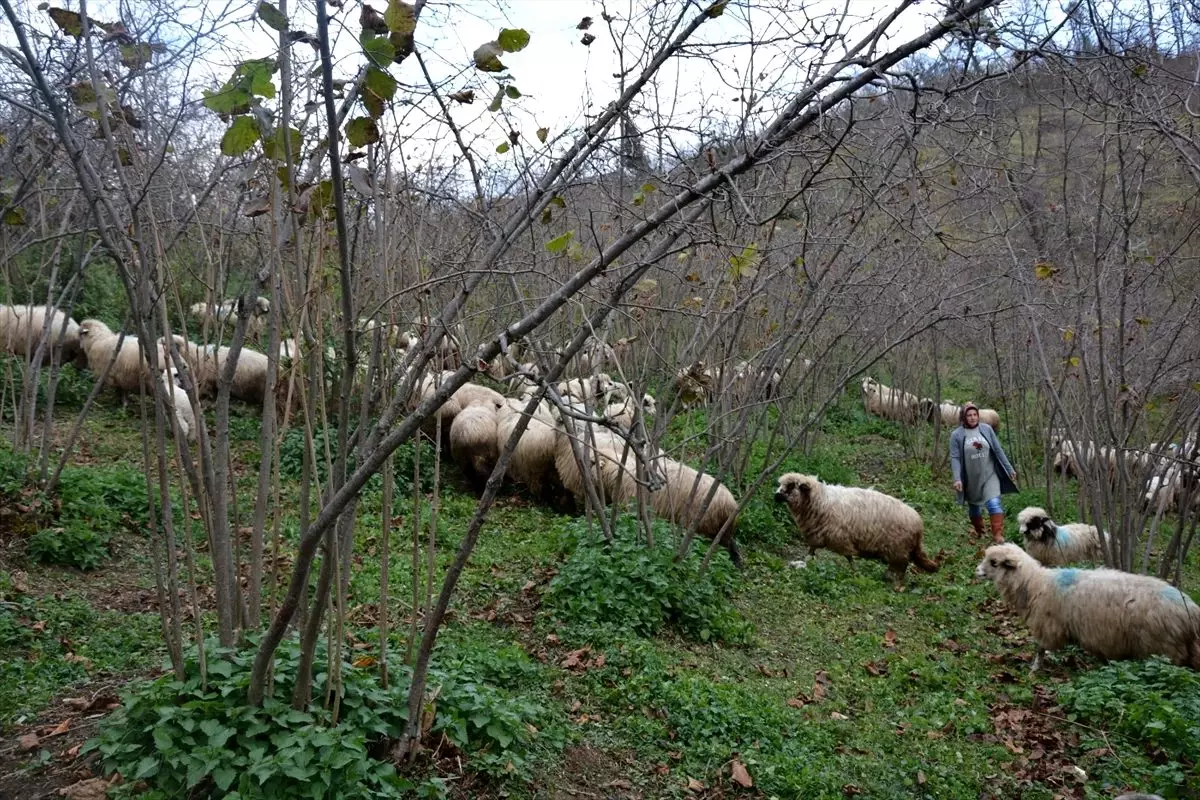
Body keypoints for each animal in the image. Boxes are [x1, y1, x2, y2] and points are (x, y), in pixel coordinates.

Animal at [772, 472, 940, 592]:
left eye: (791, 485)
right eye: (781, 484)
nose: (776, 495)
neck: (819, 500)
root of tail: (918, 524)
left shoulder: (841, 538)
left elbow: (849, 557)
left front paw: (854, 573)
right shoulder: (817, 536)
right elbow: (811, 551)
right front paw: (804, 562)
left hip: (899, 549)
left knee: (902, 567)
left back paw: (896, 584)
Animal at [974, 542, 1200, 671]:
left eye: (994, 562)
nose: (976, 571)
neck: (1034, 583)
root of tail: (1191, 610)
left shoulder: (1048, 625)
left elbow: (1040, 648)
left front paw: (1034, 669)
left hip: (1162, 648)